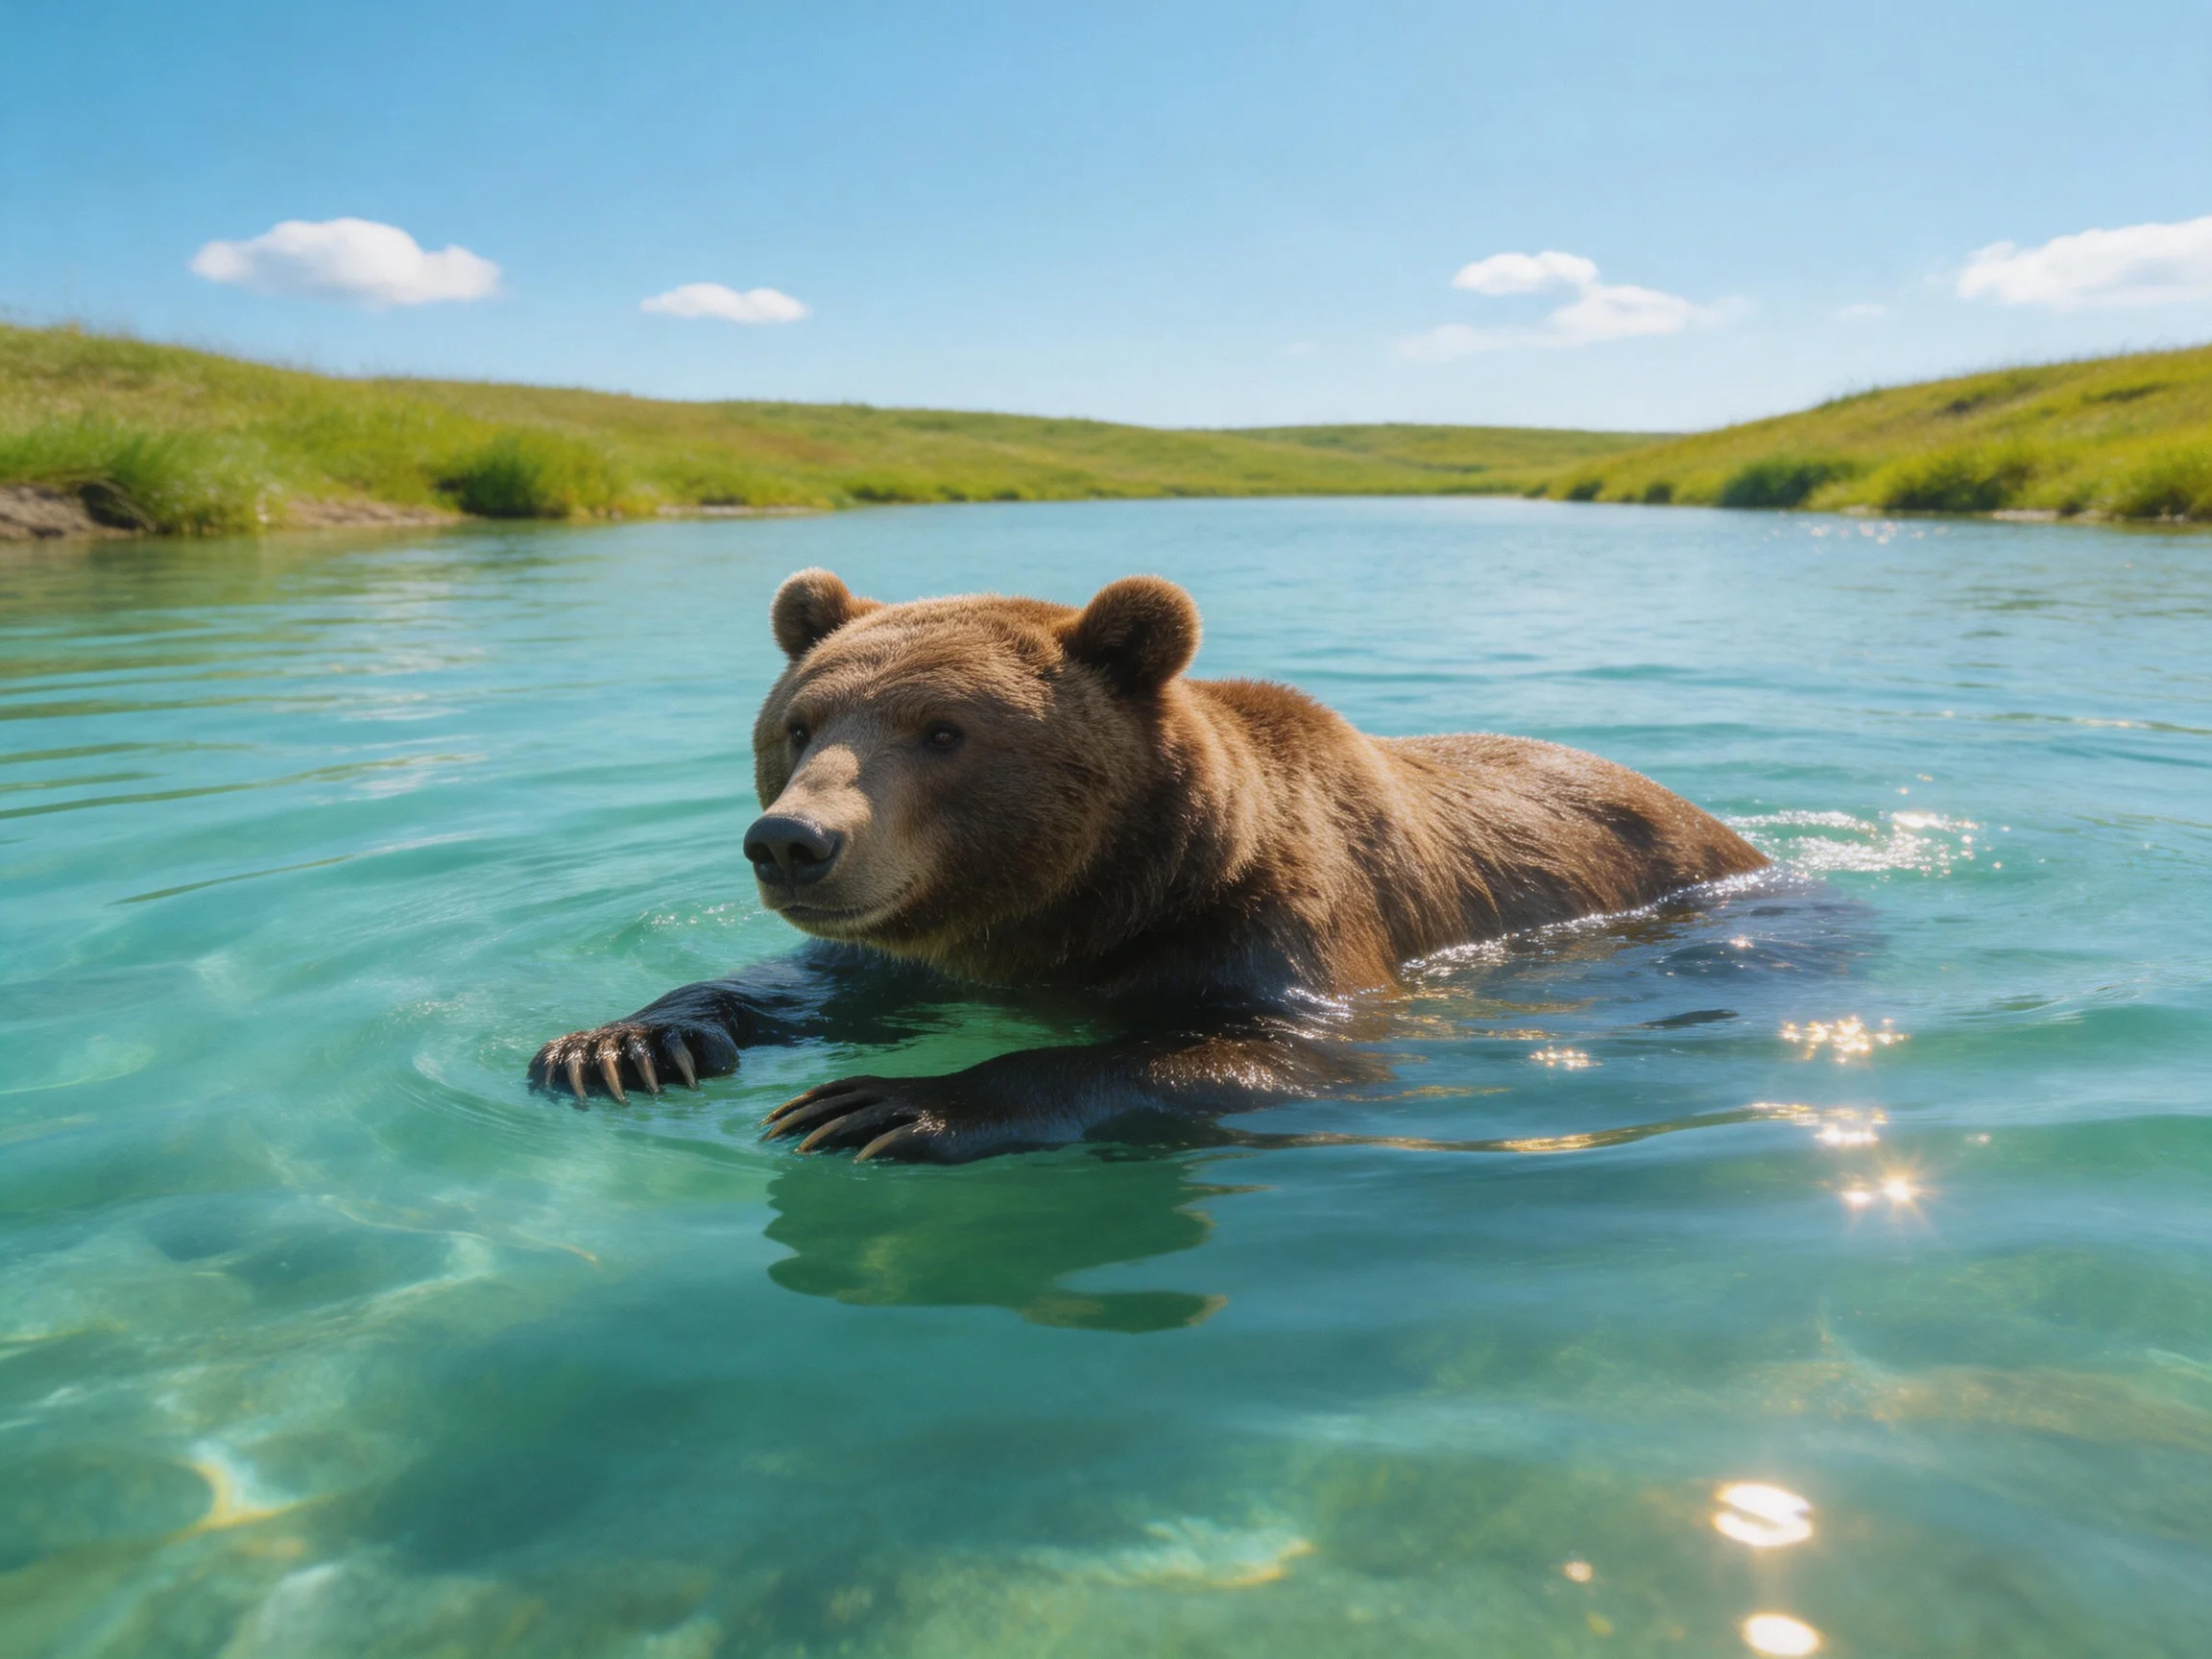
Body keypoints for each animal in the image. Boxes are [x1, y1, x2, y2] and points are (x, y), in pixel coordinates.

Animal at [529, 569, 1768, 1162]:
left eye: (943, 732)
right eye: (801, 722)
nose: (794, 840)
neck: (1078, 909)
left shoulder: (1277, 930)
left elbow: (1256, 1052)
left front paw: (889, 1106)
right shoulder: (923, 950)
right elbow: (811, 984)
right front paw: (616, 1045)